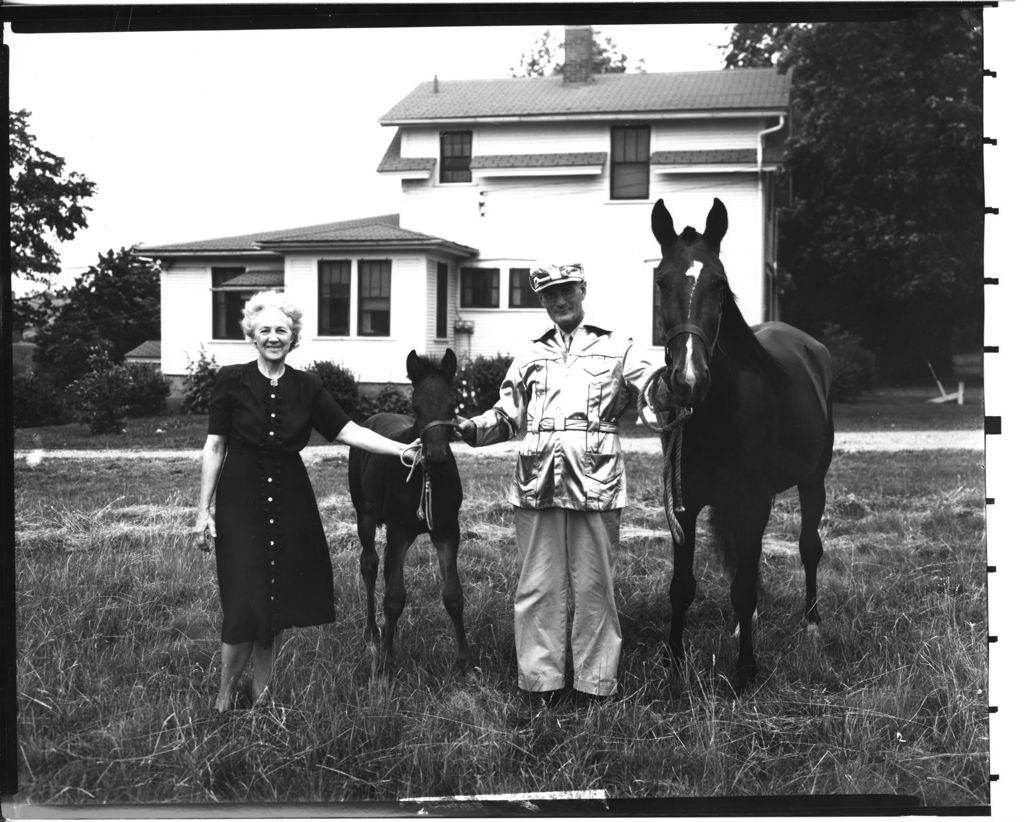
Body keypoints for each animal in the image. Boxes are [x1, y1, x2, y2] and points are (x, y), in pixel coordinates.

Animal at [348, 350, 468, 671]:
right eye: (415, 405)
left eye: (452, 403)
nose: (436, 456)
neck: (427, 479)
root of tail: (375, 415)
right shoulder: (399, 530)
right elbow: (393, 598)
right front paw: (386, 663)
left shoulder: (447, 530)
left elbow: (453, 595)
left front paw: (464, 661)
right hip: (364, 514)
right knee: (370, 564)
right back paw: (372, 631)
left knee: (387, 568)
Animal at [651, 199, 835, 687]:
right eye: (661, 280)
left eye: (719, 283)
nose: (689, 380)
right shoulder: (686, 504)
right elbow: (683, 586)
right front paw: (673, 658)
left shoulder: (753, 501)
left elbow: (745, 587)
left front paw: (747, 669)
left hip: (813, 482)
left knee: (809, 548)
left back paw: (812, 623)